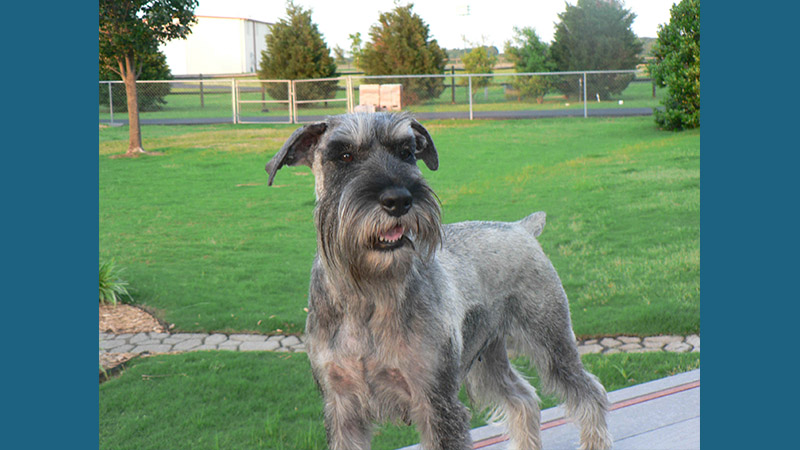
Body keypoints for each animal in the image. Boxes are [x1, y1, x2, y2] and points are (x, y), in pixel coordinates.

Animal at [266, 113, 608, 450]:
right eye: (345, 156)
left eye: (406, 152)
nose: (399, 200)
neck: (367, 294)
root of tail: (521, 228)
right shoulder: (342, 408)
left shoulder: (436, 402)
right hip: (485, 358)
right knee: (522, 399)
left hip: (551, 341)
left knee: (589, 392)